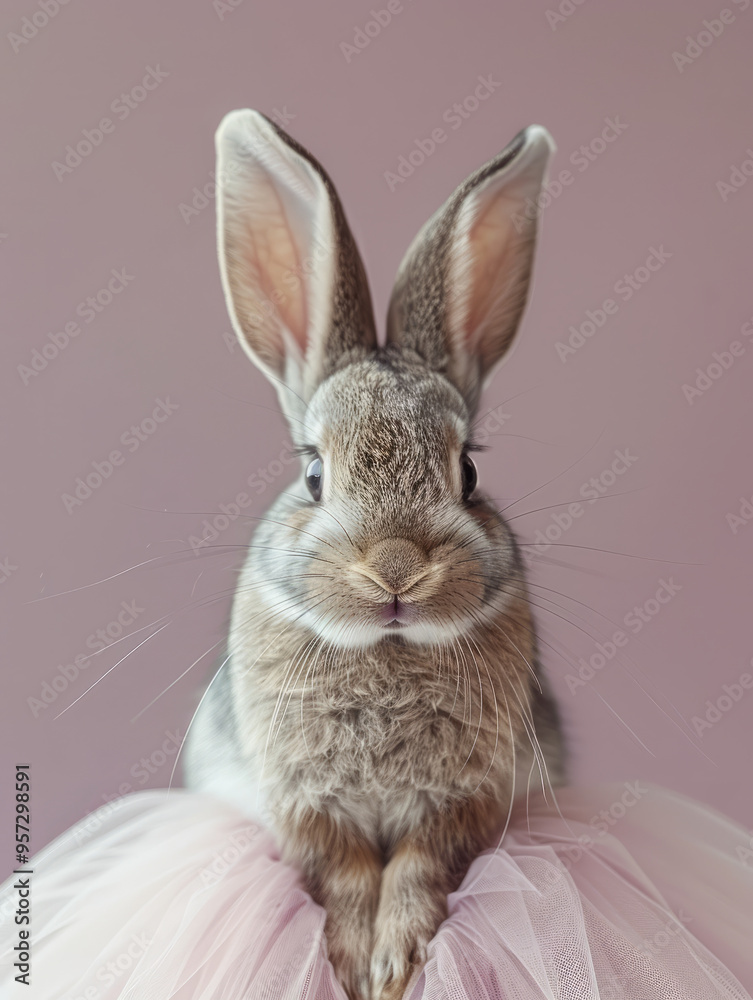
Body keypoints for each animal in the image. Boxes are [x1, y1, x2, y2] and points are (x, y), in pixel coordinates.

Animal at [184, 108, 565, 1000]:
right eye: (313, 474)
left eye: (469, 472)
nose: (395, 567)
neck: (385, 648)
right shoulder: (305, 808)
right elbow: (346, 876)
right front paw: (358, 962)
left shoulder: (465, 802)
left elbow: (419, 868)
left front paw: (396, 961)